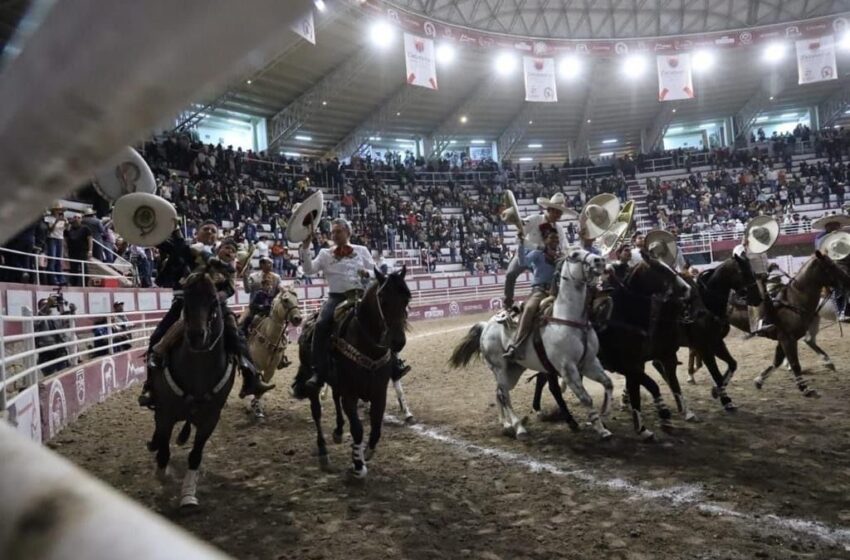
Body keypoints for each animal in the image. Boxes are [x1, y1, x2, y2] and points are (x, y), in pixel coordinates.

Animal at [146, 270, 232, 510]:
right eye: (185, 299)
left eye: (213, 300)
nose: (196, 335)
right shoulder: (165, 413)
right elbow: (164, 447)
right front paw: (161, 474)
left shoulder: (210, 419)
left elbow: (195, 456)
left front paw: (188, 496)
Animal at [294, 266, 410, 476]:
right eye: (383, 299)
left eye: (406, 299)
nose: (398, 341)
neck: (368, 347)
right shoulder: (350, 394)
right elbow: (357, 429)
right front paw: (358, 463)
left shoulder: (379, 393)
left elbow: (376, 428)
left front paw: (368, 452)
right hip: (312, 380)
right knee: (316, 412)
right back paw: (323, 452)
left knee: (335, 399)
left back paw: (339, 431)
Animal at [448, 252, 612, 440]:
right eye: (574, 254)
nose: (600, 261)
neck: (568, 320)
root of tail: (486, 326)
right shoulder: (567, 369)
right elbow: (586, 398)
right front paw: (600, 429)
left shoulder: (589, 362)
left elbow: (608, 383)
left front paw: (605, 415)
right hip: (499, 368)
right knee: (504, 395)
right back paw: (519, 428)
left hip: (514, 370)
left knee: (499, 393)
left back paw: (505, 424)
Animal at [724, 252, 848, 396]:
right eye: (831, 265)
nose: (847, 278)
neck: (794, 300)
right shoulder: (788, 339)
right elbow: (795, 363)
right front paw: (805, 388)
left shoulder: (782, 339)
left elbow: (776, 361)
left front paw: (759, 380)